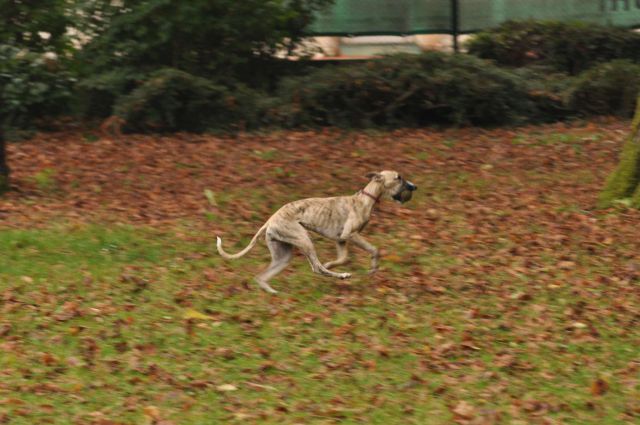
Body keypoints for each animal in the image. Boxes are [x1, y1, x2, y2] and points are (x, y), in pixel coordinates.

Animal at [216, 169, 416, 292]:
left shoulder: (340, 239)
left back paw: (274, 293)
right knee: (316, 267)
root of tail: (269, 221)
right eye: (398, 177)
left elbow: (343, 258)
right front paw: (373, 268)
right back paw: (342, 276)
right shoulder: (350, 234)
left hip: (283, 255)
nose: (414, 186)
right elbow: (374, 250)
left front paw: (332, 264)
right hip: (304, 239)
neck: (364, 199)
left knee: (261, 277)